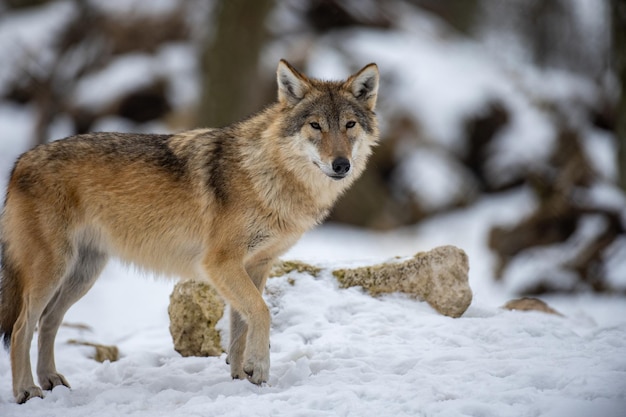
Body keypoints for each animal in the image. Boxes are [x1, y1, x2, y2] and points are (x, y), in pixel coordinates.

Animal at [0, 58, 380, 400]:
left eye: (349, 125)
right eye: (316, 126)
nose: (341, 165)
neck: (267, 174)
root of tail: (19, 162)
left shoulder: (255, 266)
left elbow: (240, 328)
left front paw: (242, 379)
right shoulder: (220, 263)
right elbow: (261, 312)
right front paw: (259, 368)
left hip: (83, 274)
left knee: (48, 322)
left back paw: (51, 381)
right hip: (53, 271)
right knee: (21, 328)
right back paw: (27, 391)